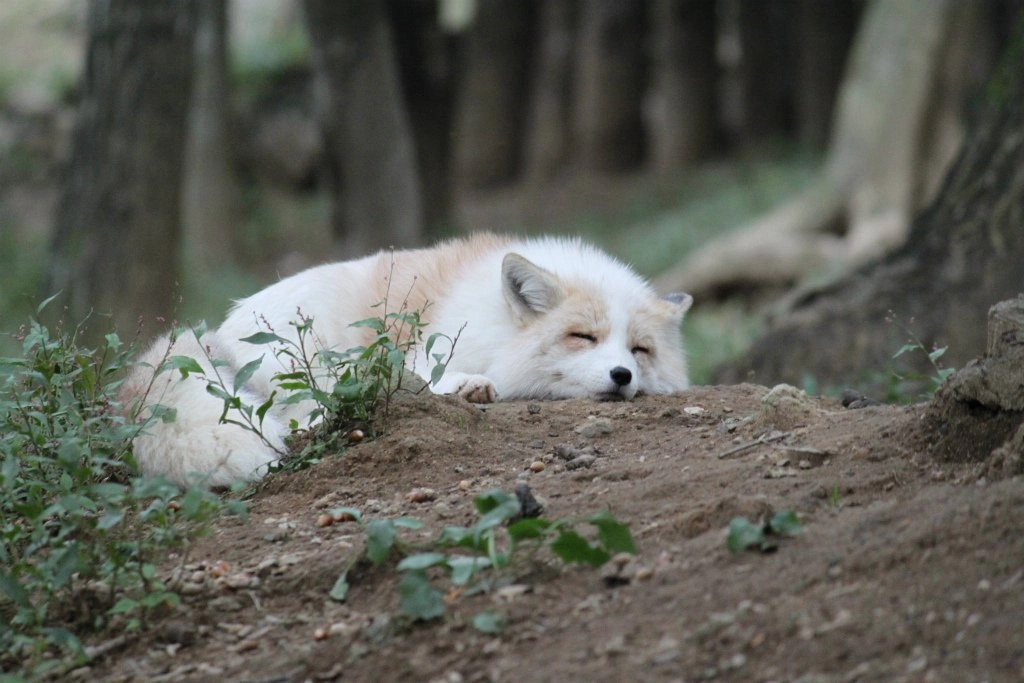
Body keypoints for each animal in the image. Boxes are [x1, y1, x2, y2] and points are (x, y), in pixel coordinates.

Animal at [122, 233, 693, 487]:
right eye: (583, 336)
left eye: (639, 350)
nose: (622, 376)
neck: (490, 319)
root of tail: (216, 330)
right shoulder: (422, 349)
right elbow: (421, 376)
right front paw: (468, 386)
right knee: (304, 412)